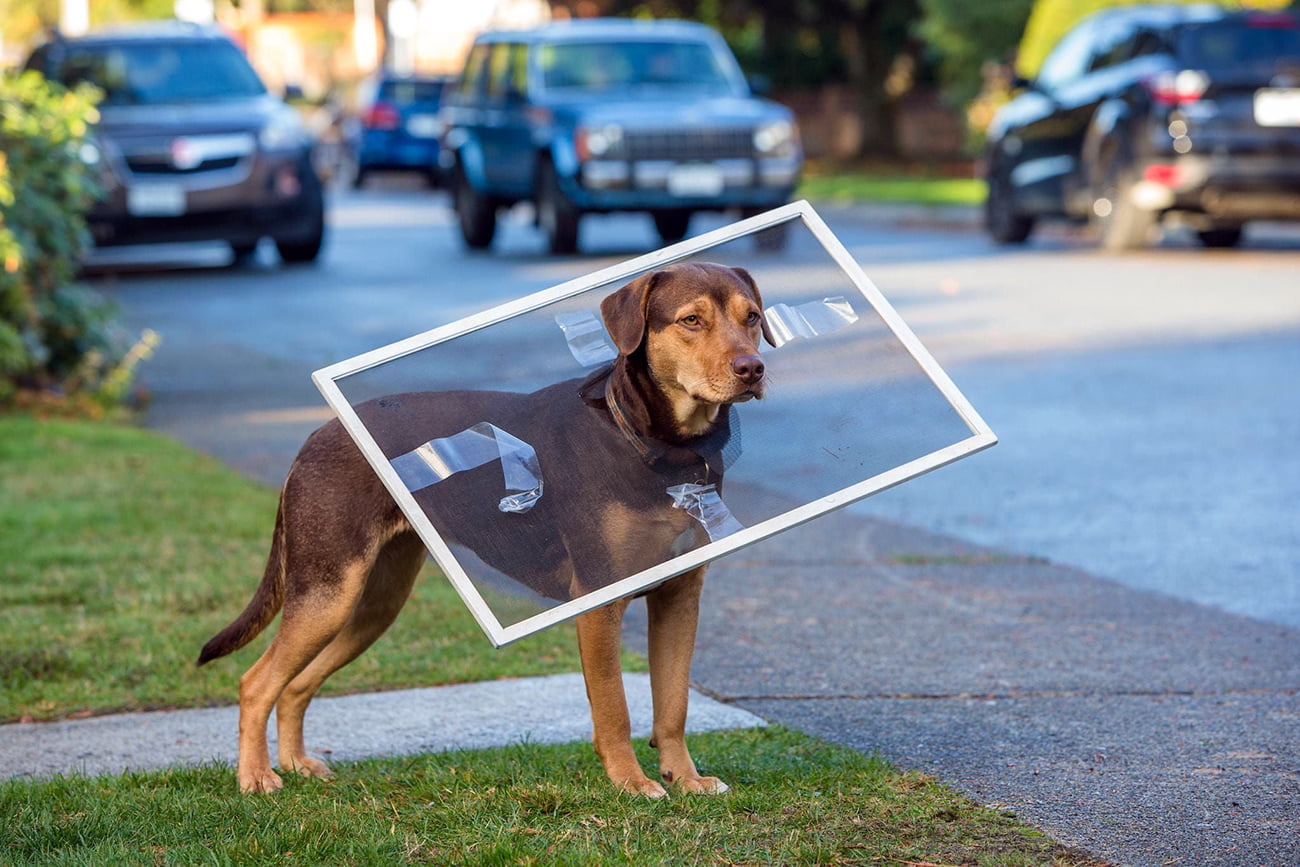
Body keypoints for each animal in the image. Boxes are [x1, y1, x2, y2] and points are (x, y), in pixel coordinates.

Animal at [200, 259, 769, 800]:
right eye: (690, 320)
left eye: (752, 318)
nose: (753, 368)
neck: (660, 446)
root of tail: (315, 437)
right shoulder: (600, 601)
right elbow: (615, 709)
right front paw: (632, 783)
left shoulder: (680, 597)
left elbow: (673, 705)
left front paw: (687, 779)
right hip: (328, 593)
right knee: (256, 683)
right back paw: (257, 777)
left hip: (373, 605)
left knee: (295, 685)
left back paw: (297, 764)